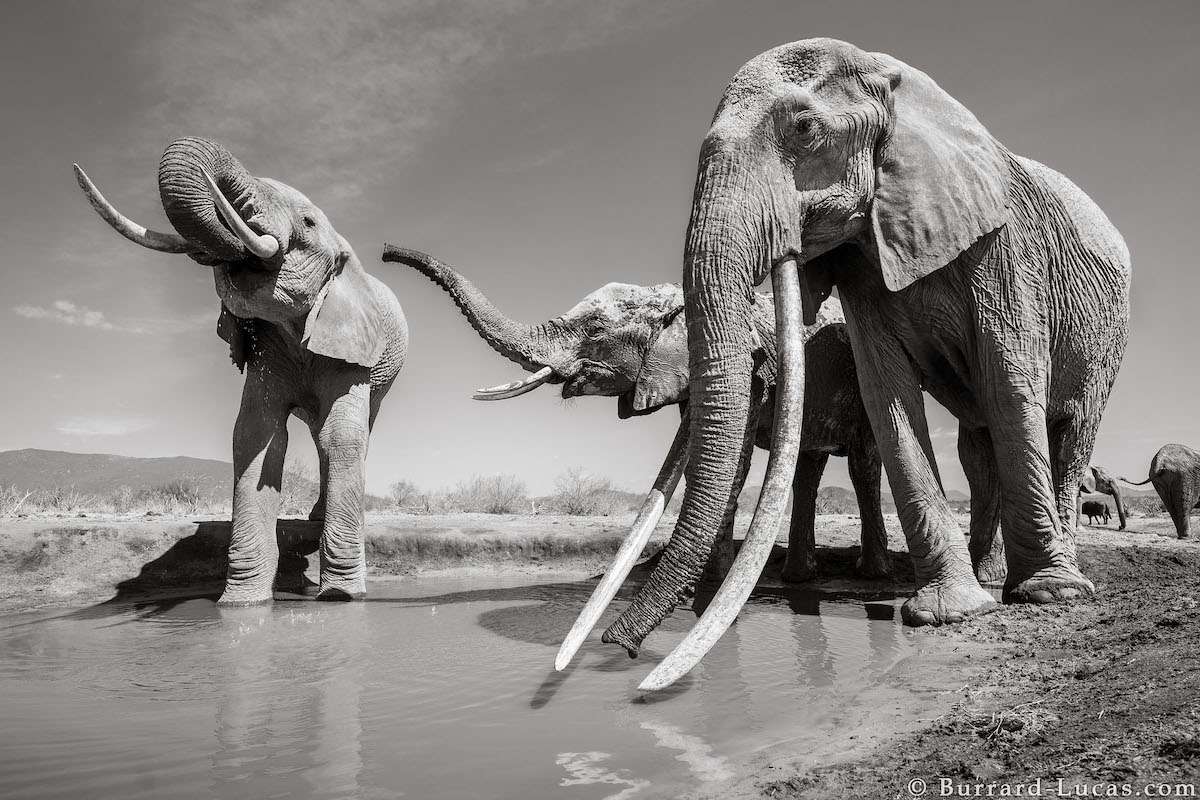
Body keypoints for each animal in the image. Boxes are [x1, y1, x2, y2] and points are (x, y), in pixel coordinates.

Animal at [73, 137, 408, 604]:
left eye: (307, 223)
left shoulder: (350, 346)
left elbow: (341, 435)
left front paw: (341, 598)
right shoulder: (267, 350)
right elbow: (257, 434)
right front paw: (242, 603)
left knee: (345, 433)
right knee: (315, 432)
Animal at [595, 37, 1128, 690]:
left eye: (803, 128)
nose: (616, 650)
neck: (895, 79)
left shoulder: (1006, 249)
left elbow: (1011, 380)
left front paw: (1045, 598)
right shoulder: (863, 262)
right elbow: (886, 392)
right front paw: (950, 612)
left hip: (1107, 338)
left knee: (1069, 430)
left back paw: (1054, 582)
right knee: (977, 448)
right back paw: (988, 576)